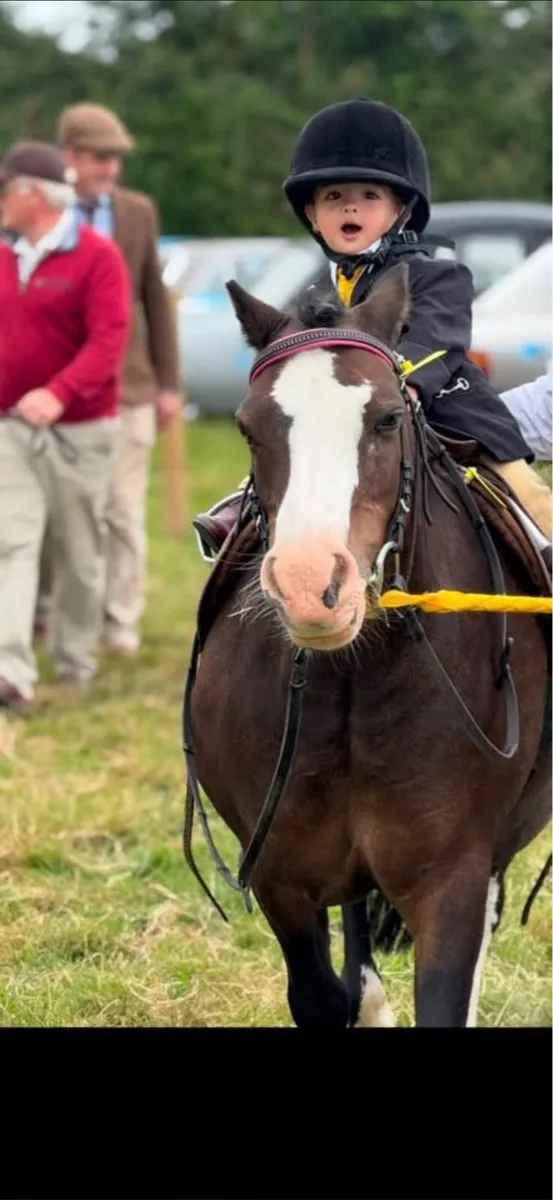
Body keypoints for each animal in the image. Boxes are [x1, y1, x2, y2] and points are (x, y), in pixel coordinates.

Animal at [183, 262, 551, 1028]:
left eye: (386, 418)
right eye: (248, 429)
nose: (308, 586)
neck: (354, 678)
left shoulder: (451, 881)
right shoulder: (280, 874)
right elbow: (324, 995)